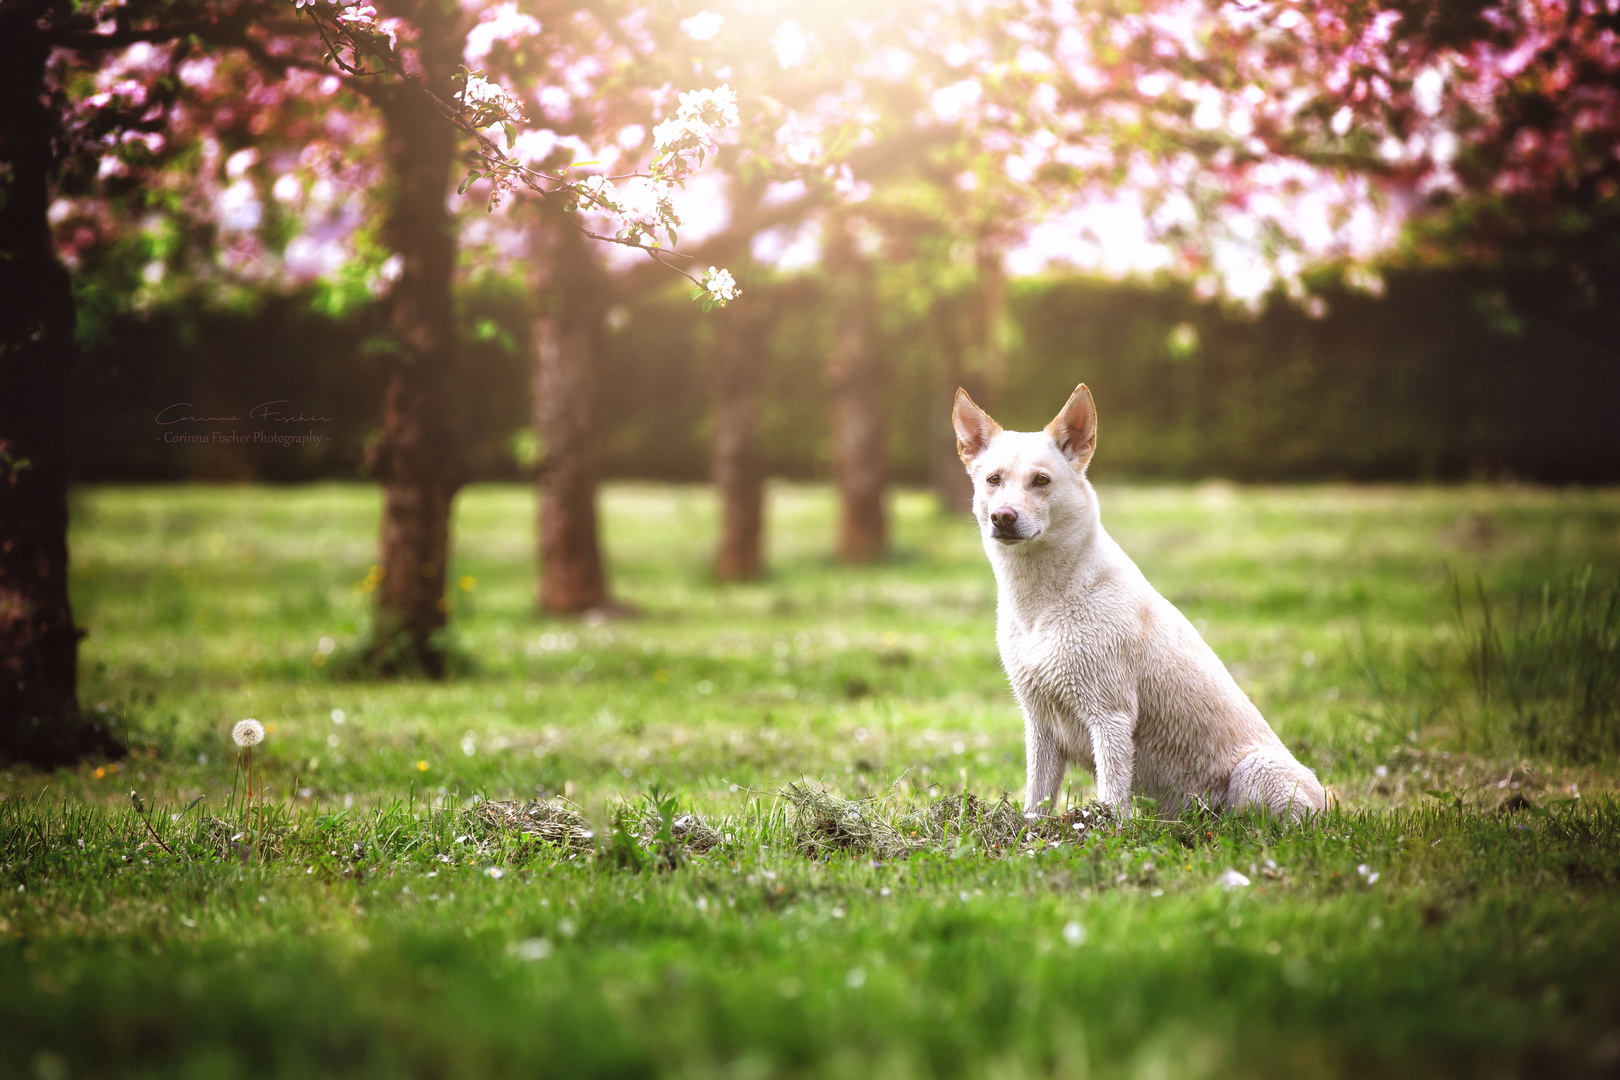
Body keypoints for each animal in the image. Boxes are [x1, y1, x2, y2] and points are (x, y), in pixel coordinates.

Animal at [952, 383, 1321, 816]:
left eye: (1040, 480)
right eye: (993, 479)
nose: (1003, 518)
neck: (1045, 604)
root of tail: (1330, 800)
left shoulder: (1109, 715)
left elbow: (1112, 796)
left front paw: (1104, 826)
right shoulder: (1040, 721)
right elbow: (1037, 797)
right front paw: (1030, 826)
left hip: (1255, 772)